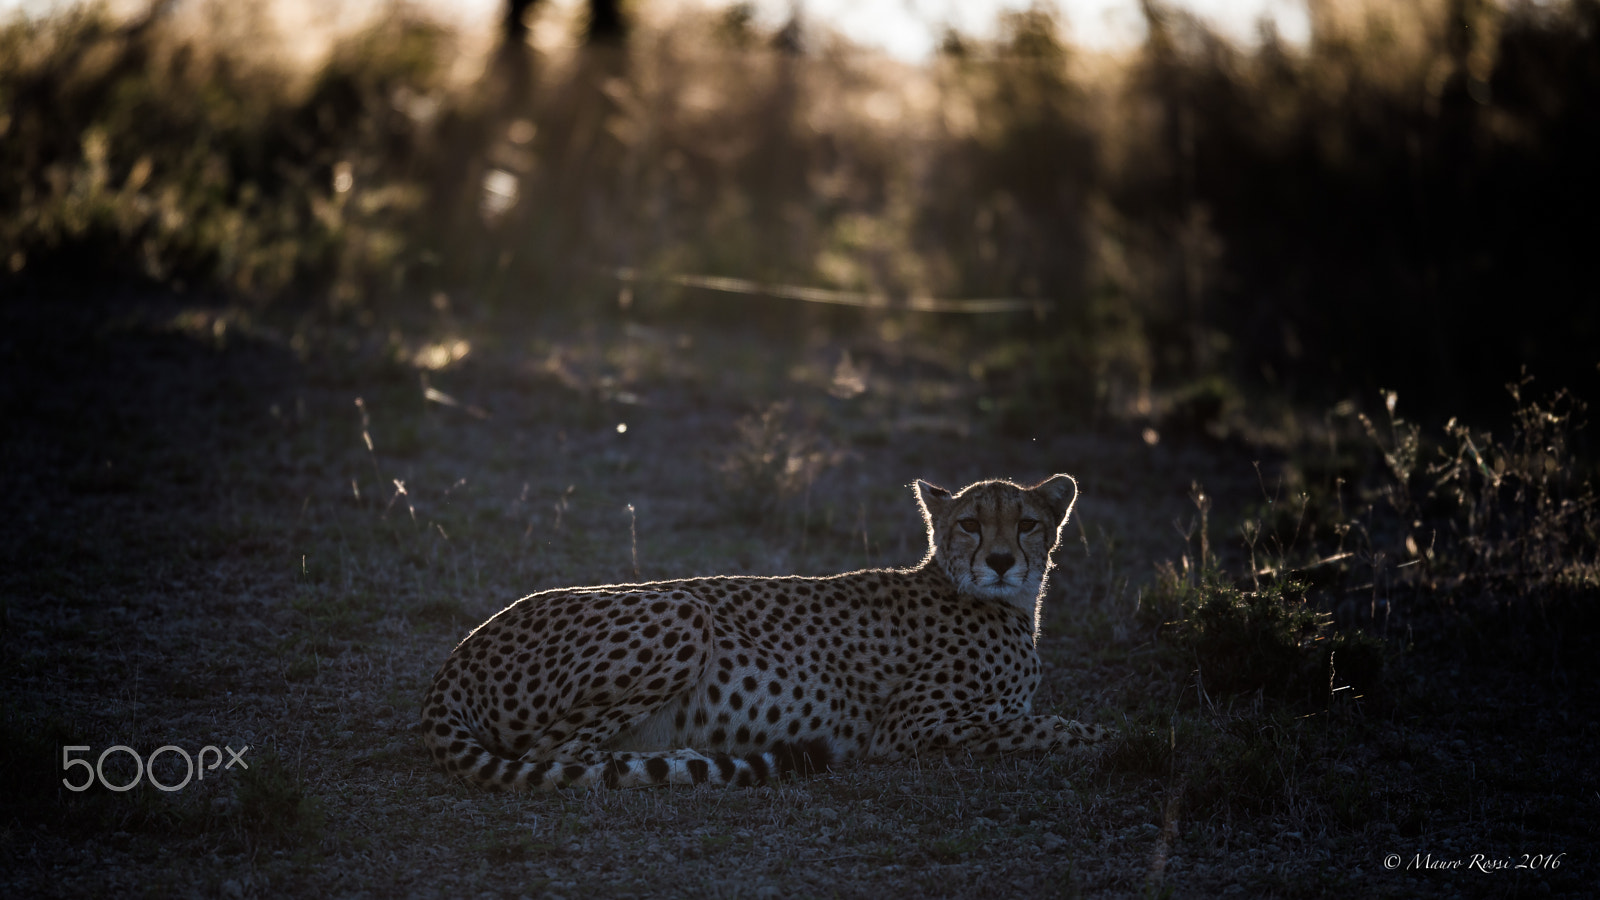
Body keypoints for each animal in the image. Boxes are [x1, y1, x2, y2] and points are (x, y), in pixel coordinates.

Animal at [419, 474, 1113, 787]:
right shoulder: (909, 728)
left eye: (1026, 523)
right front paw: (1108, 735)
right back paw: (686, 762)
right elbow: (1050, 726)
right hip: (683, 612)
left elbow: (1040, 720)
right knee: (555, 754)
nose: (999, 560)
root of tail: (463, 649)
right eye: (970, 523)